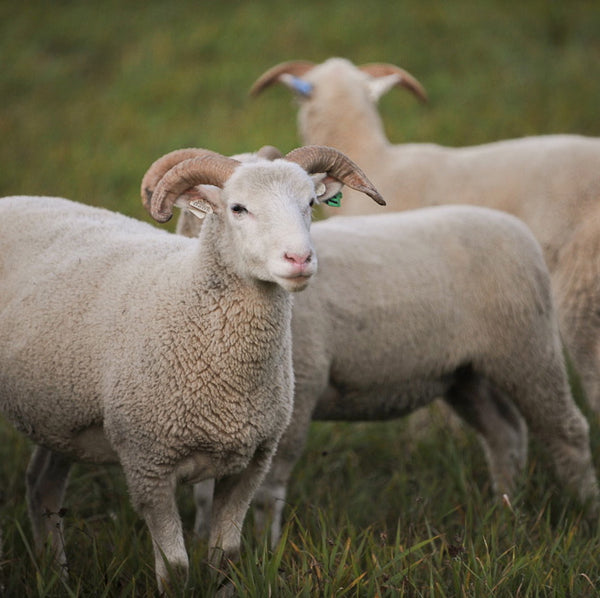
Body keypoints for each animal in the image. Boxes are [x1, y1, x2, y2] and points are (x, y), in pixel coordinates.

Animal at [0, 146, 384, 596]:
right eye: (238, 208)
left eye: (310, 203)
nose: (299, 259)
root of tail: (14, 199)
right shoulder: (149, 464)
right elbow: (176, 569)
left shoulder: (251, 463)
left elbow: (226, 557)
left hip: (62, 415)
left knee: (42, 485)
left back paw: (55, 575)